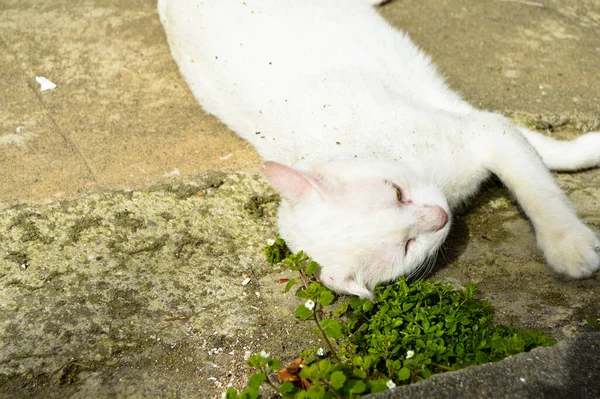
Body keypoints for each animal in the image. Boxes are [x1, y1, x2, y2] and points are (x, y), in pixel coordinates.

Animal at [159, 0, 600, 298]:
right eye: (407, 247)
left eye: (396, 192)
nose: (439, 217)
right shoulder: (475, 126)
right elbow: (534, 157)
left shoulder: (483, 130)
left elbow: (539, 183)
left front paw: (569, 242)